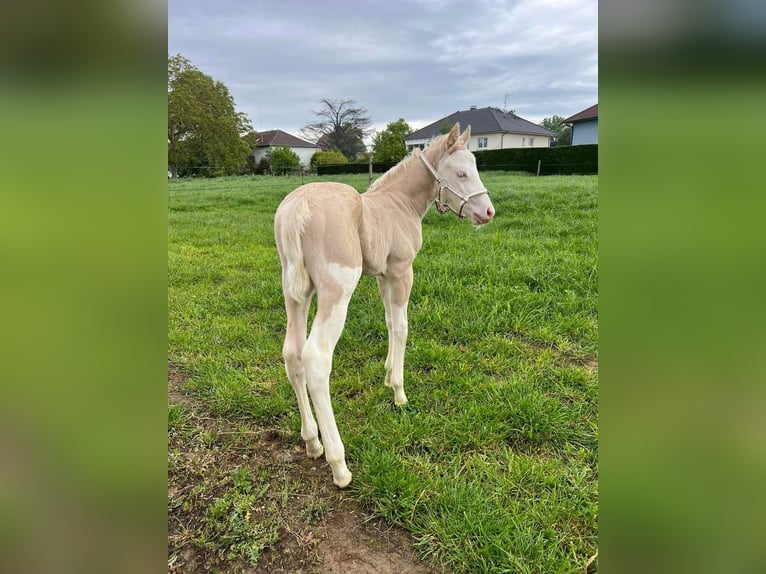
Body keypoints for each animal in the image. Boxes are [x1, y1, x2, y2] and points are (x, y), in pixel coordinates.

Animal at [274, 123, 495, 488]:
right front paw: (400, 393)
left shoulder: (383, 275)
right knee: (316, 358)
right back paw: (339, 465)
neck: (399, 204)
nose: (488, 213)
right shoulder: (403, 272)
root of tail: (297, 209)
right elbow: (402, 326)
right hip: (337, 291)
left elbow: (390, 321)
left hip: (296, 293)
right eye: (461, 173)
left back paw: (312, 442)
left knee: (292, 353)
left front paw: (389, 376)